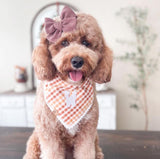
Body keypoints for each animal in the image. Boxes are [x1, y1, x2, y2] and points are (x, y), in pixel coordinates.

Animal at [23, 5, 112, 159]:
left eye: (85, 43)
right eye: (64, 43)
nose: (77, 61)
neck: (70, 88)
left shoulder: (87, 132)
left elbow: (85, 152)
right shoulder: (49, 132)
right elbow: (52, 153)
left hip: (95, 139)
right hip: (35, 139)